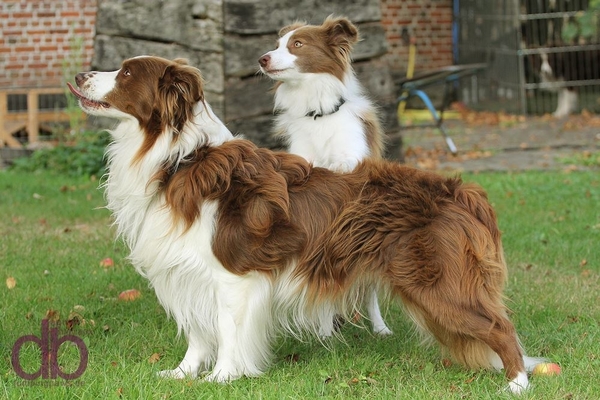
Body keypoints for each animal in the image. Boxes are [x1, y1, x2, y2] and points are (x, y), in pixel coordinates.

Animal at [256, 14, 390, 334]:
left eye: (297, 44)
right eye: (277, 44)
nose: (262, 59)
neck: (318, 114)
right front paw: (325, 328)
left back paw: (380, 329)